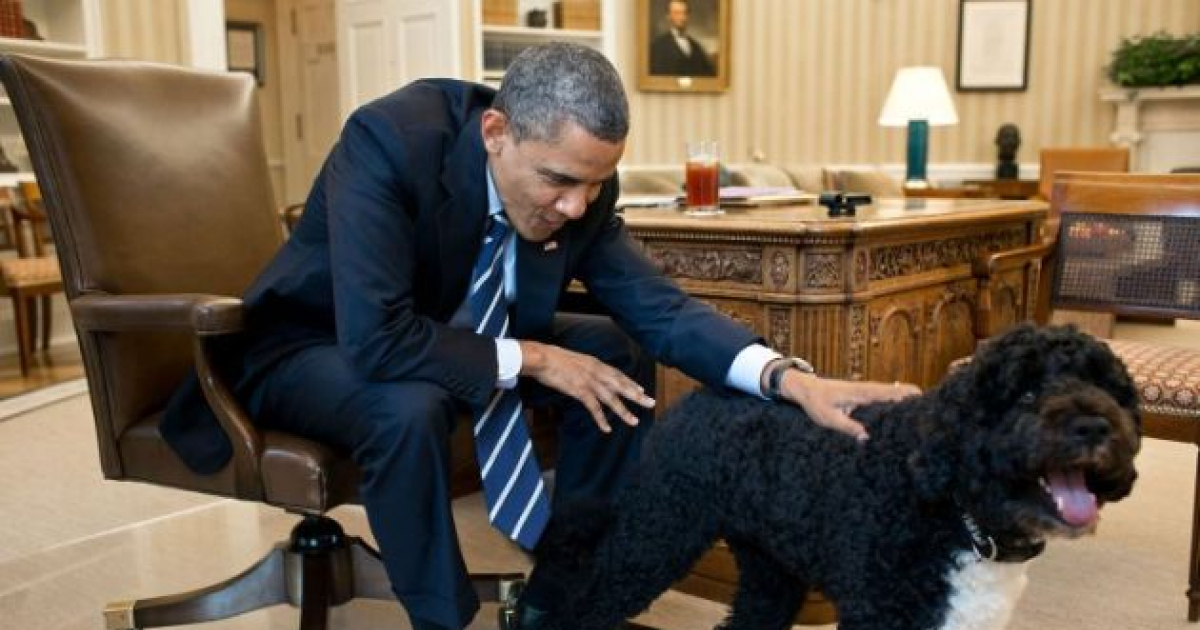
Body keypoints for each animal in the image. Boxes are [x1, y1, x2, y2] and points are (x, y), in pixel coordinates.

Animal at [535, 324, 1142, 628]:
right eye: (1026, 391)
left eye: (1109, 388)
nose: (1095, 424)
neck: (955, 515)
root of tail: (694, 399)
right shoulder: (879, 613)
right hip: (656, 534)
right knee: (587, 605)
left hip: (770, 567)